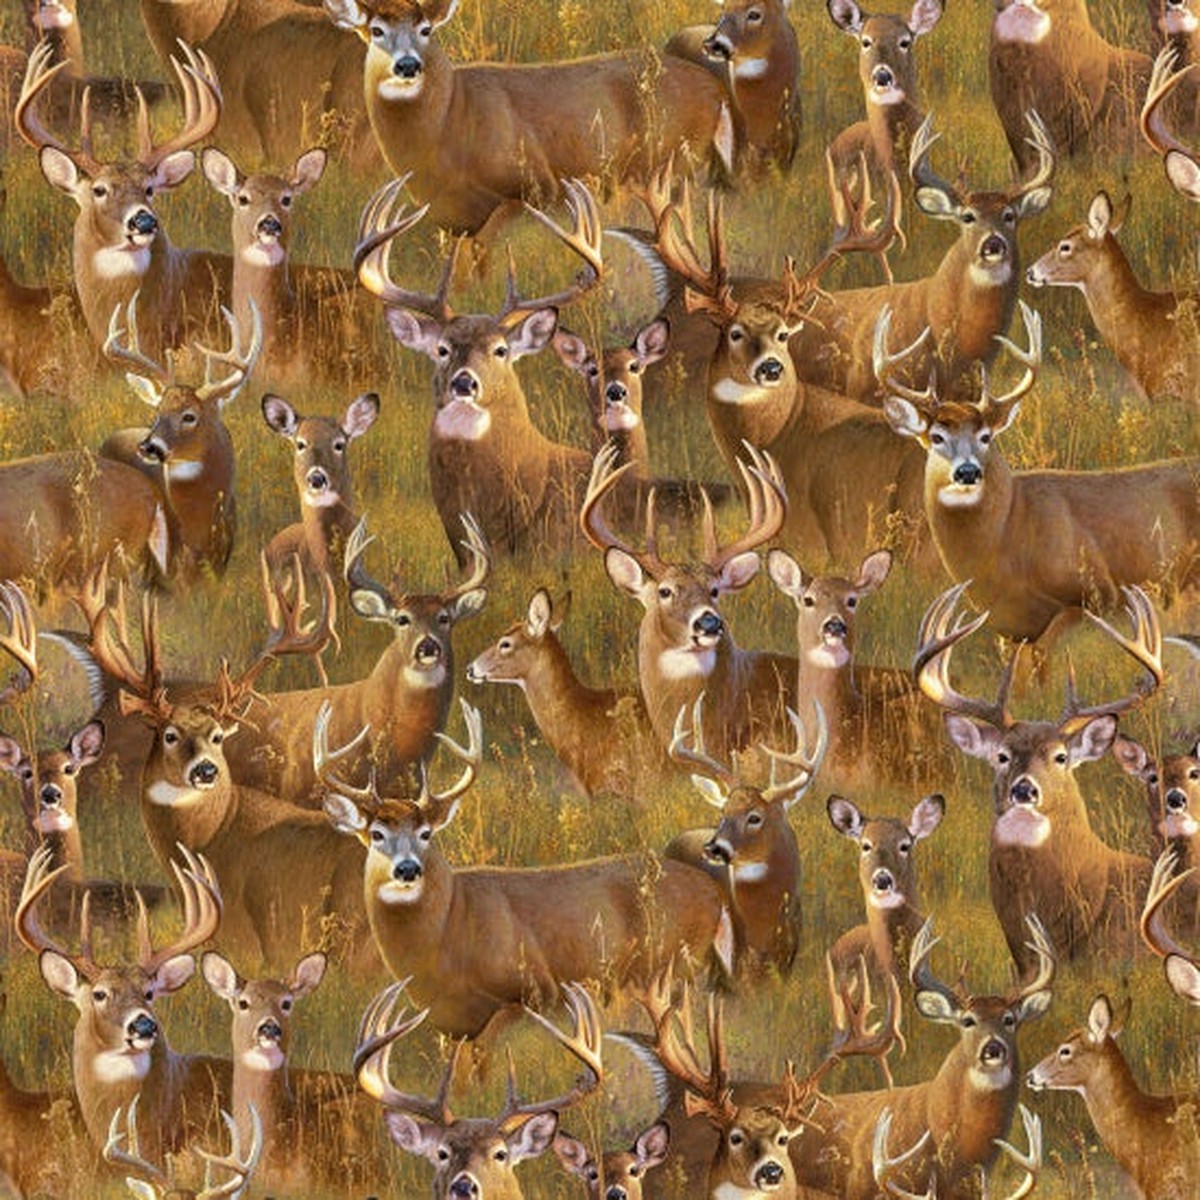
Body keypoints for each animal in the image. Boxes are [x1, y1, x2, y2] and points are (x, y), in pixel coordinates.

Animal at [318, 700, 735, 1040]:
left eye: (425, 833)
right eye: (376, 834)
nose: (407, 869)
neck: (449, 928)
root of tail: (710, 888)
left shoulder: (531, 988)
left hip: (674, 964)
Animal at [323, 0, 735, 235]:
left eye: (426, 29)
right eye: (375, 30)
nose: (407, 65)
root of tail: (713, 84)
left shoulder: (534, 185)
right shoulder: (452, 219)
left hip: (672, 163)